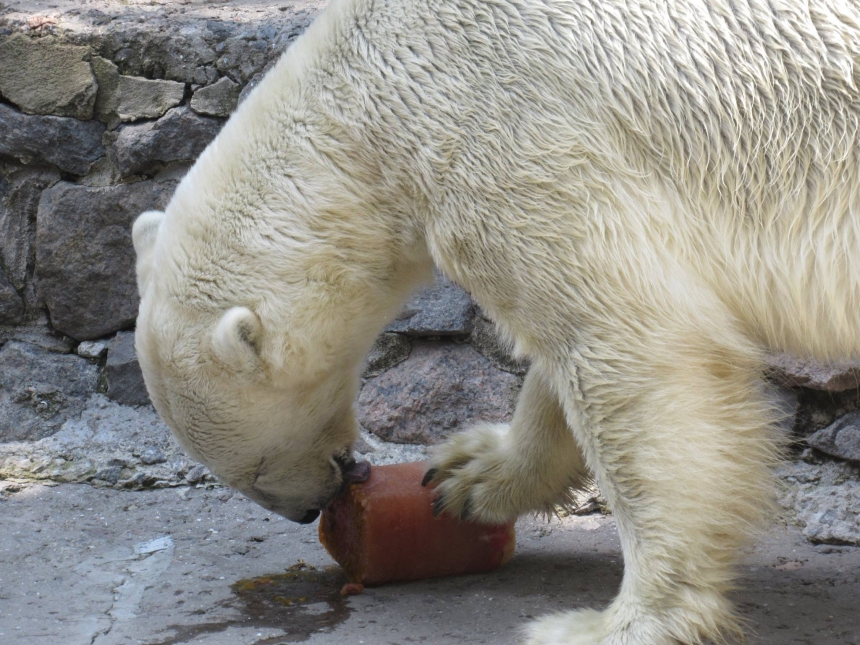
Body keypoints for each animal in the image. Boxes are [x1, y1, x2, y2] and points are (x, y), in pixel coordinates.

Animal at [133, 0, 860, 640]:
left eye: (254, 469)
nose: (309, 506)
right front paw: (467, 475)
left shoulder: (510, 138)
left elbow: (629, 348)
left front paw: (615, 623)